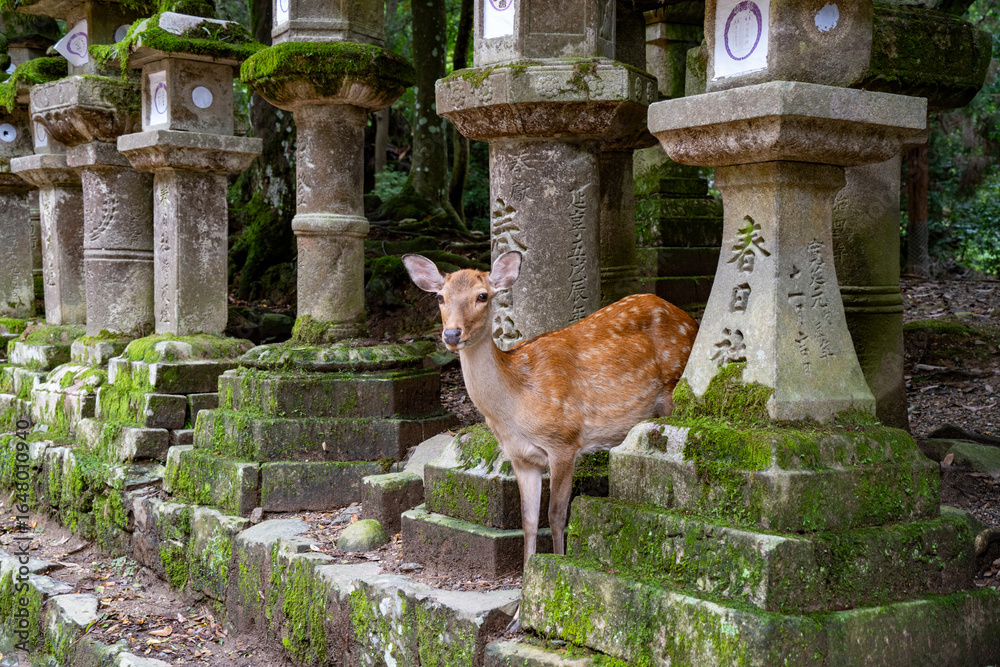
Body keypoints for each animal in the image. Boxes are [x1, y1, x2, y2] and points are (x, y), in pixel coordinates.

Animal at [402, 251, 698, 565]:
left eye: (482, 295)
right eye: (440, 297)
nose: (451, 334)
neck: (515, 405)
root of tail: (691, 321)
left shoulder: (565, 441)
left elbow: (556, 516)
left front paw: (556, 561)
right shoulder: (521, 458)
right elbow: (529, 521)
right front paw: (525, 571)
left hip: (672, 389)